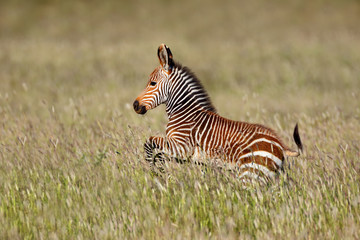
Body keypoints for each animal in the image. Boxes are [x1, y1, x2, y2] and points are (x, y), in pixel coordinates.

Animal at [134, 43, 302, 182]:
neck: (185, 112)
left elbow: (149, 142)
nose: (135, 105)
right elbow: (157, 150)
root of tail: (280, 144)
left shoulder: (182, 147)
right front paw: (160, 167)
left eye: (152, 83)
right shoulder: (182, 154)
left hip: (250, 174)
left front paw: (155, 169)